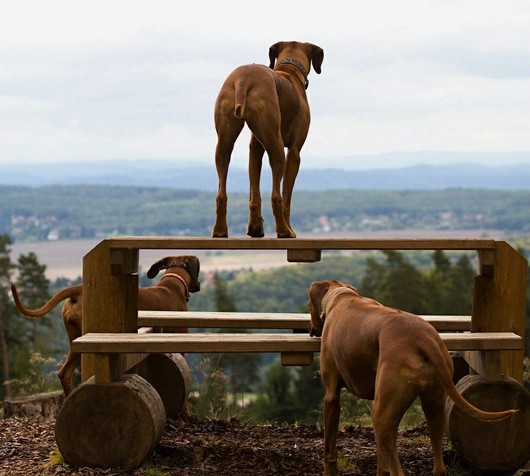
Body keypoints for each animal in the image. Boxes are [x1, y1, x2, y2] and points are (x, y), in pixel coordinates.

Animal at [210, 40, 322, 238]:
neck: (289, 71)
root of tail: (243, 80)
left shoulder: (255, 148)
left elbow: (254, 192)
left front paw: (255, 228)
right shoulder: (294, 152)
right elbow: (286, 197)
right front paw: (289, 228)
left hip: (224, 144)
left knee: (221, 192)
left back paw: (220, 230)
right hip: (276, 147)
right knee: (276, 195)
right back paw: (284, 231)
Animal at [306, 278, 516, 476]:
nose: (311, 330)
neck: (342, 296)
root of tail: (423, 337)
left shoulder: (331, 397)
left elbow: (329, 448)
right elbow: (382, 458)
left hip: (381, 415)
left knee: (398, 469)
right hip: (433, 405)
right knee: (438, 466)